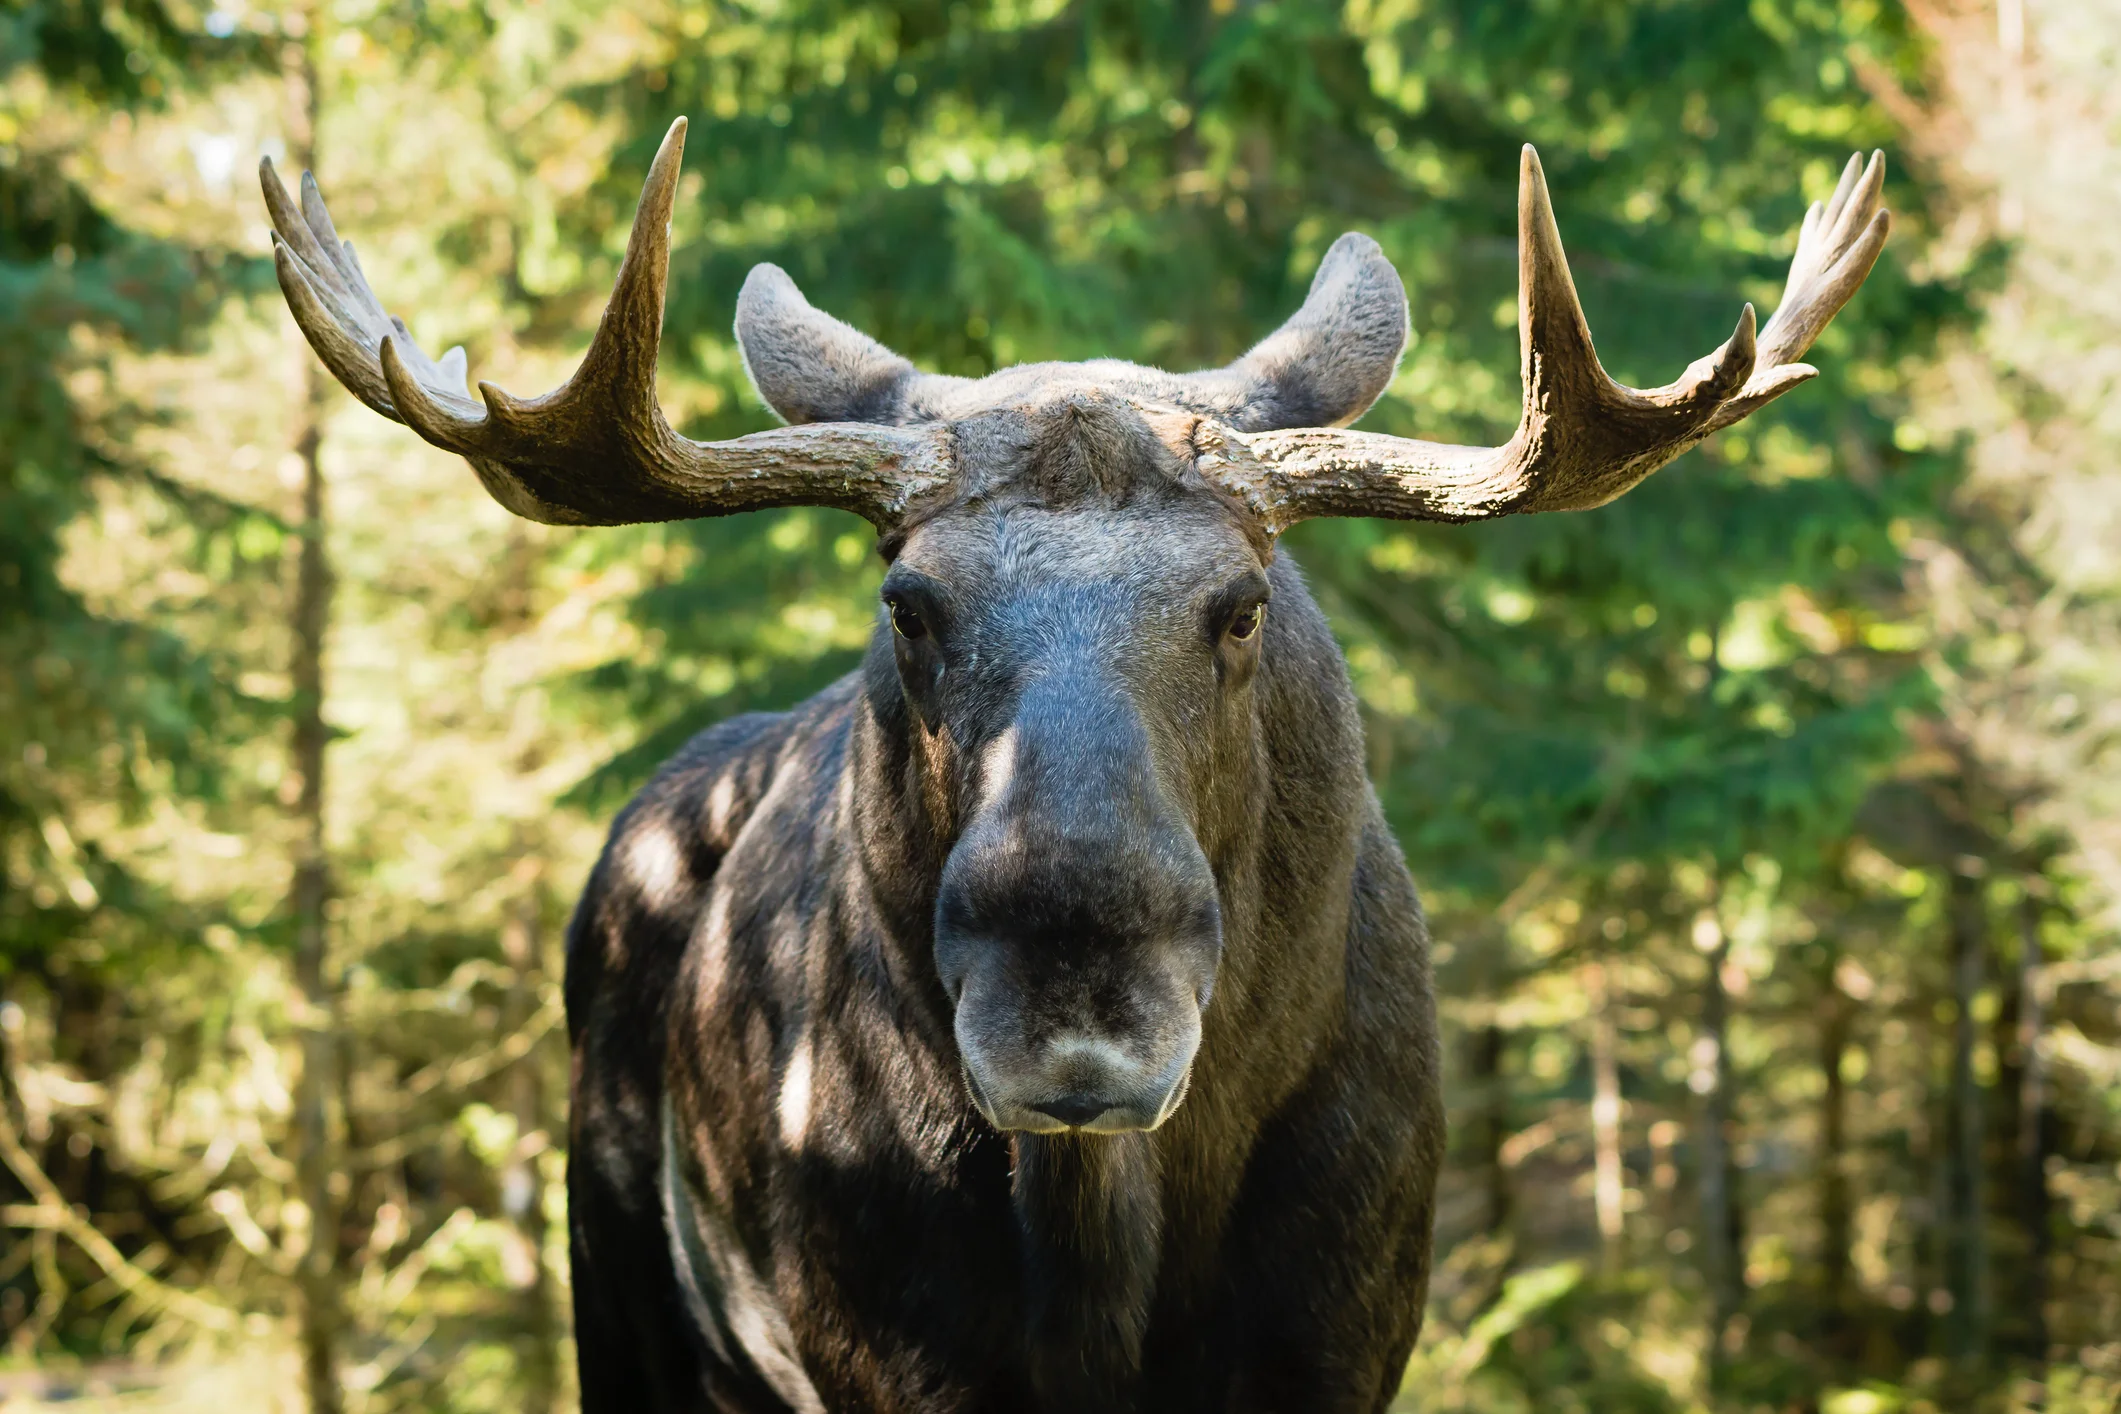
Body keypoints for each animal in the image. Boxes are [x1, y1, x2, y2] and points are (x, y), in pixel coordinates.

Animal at [261, 120, 1887, 1413]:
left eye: (1240, 604)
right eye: (908, 604)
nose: (1075, 1012)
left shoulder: (1342, 1338)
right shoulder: (886, 1355)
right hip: (624, 1295)